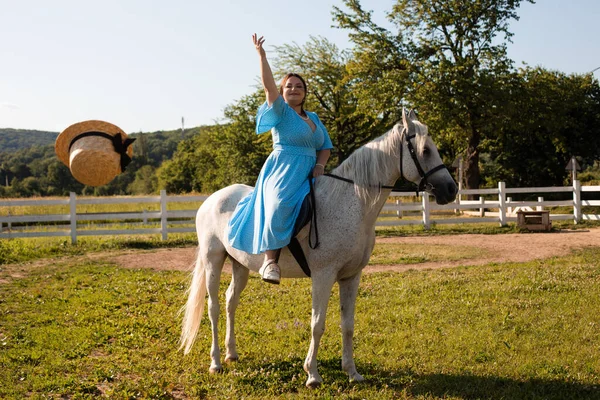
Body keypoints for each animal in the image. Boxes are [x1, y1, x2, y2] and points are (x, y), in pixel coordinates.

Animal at [180, 109, 458, 388]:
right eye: (425, 150)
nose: (451, 189)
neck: (351, 203)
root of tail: (212, 199)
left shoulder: (351, 276)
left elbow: (348, 324)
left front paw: (352, 372)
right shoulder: (323, 276)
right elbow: (318, 324)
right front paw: (312, 375)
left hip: (240, 265)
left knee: (230, 302)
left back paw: (231, 354)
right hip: (213, 260)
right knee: (214, 307)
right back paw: (215, 363)